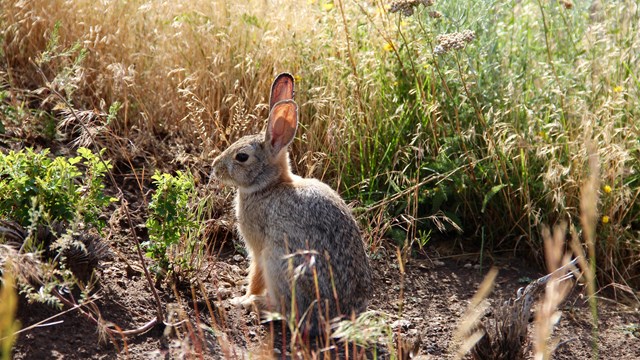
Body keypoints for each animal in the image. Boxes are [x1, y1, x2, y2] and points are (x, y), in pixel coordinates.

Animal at [211, 73, 370, 338]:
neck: (269, 186)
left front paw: (242, 298)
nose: (215, 167)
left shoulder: (259, 249)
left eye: (241, 157)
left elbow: (255, 274)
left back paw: (257, 304)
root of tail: (334, 317)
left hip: (280, 262)